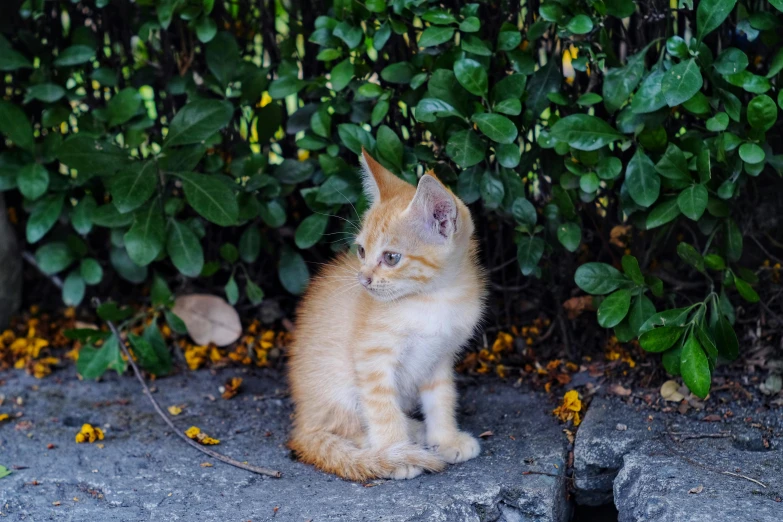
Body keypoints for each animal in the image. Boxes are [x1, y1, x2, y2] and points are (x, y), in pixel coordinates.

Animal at [286, 148, 484, 478]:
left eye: (391, 258)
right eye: (361, 251)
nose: (363, 279)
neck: (433, 300)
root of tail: (302, 423)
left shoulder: (440, 356)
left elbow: (441, 399)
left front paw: (446, 439)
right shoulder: (372, 358)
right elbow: (381, 408)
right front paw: (395, 452)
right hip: (336, 390)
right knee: (339, 428)